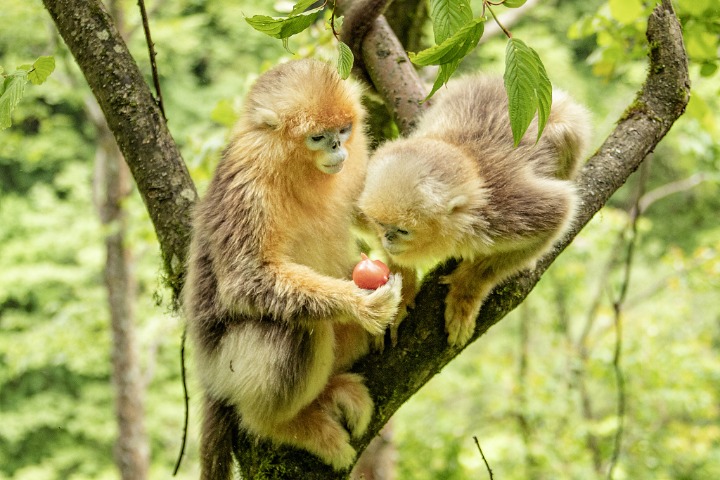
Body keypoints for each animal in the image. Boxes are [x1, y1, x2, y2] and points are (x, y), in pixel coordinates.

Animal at [183, 59, 402, 477]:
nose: (336, 147)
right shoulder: (251, 177)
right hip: (230, 365)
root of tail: (208, 375)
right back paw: (285, 425)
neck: (295, 165)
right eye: (318, 137)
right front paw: (359, 304)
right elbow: (244, 278)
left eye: (343, 131)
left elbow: (365, 210)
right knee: (298, 327)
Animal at [358, 74, 591, 347]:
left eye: (403, 231)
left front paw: (463, 296)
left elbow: (560, 211)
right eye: (381, 225)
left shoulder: (505, 213)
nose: (388, 239)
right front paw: (401, 296)